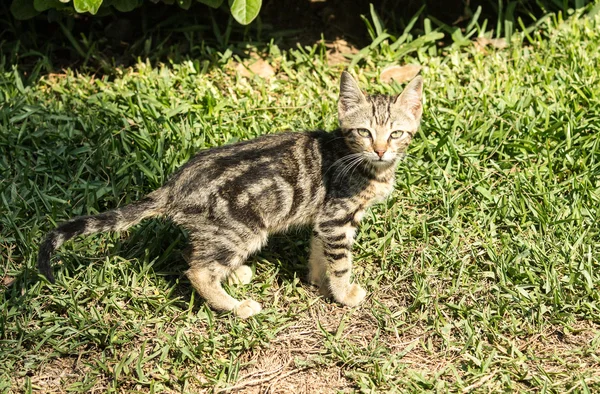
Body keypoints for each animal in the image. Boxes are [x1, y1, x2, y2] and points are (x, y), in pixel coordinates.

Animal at [38, 71, 422, 318]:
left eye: (397, 134)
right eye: (364, 132)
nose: (381, 151)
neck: (361, 163)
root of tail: (175, 183)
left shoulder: (323, 219)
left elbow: (319, 254)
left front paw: (317, 282)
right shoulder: (337, 219)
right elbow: (341, 263)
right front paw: (345, 294)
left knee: (197, 255)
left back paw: (235, 275)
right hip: (242, 228)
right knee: (197, 271)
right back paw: (237, 306)